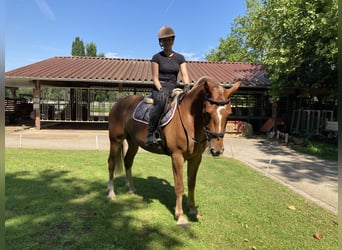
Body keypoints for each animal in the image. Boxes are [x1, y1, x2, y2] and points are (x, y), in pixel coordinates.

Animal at [107, 75, 240, 225]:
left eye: (229, 113)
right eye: (207, 113)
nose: (217, 150)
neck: (189, 120)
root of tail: (119, 104)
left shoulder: (196, 158)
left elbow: (191, 184)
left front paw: (193, 210)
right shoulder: (177, 157)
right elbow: (179, 186)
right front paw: (180, 215)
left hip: (133, 143)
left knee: (128, 161)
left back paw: (131, 189)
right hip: (115, 141)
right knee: (111, 164)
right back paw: (111, 193)